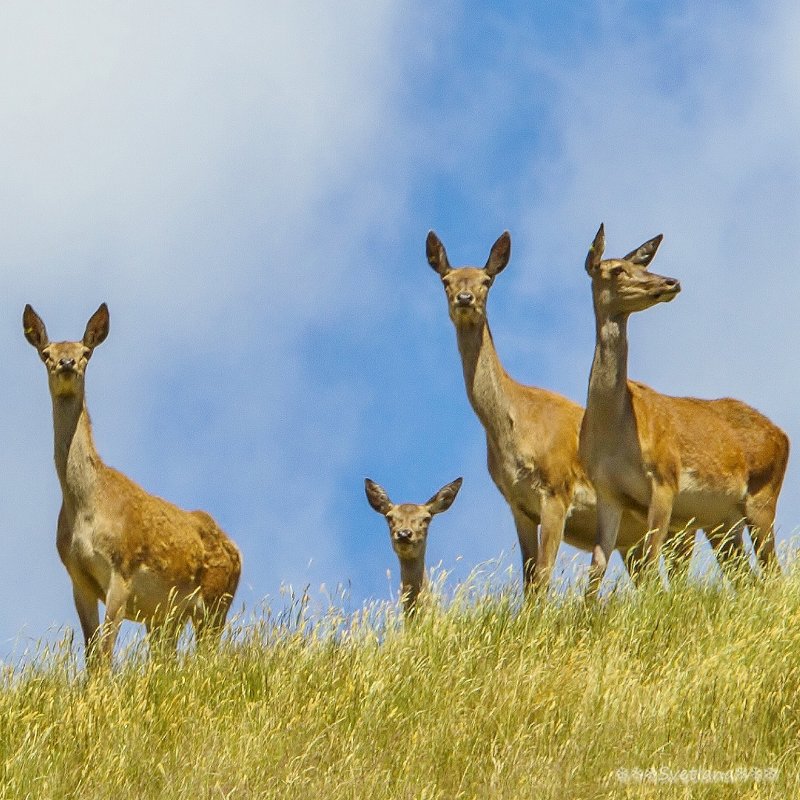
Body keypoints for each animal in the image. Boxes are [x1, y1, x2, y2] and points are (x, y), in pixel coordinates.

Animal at [23, 302, 242, 664]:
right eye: (46, 353)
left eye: (86, 353)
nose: (67, 364)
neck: (87, 508)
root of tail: (237, 552)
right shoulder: (78, 579)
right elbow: (93, 656)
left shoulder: (121, 571)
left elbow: (106, 654)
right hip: (165, 618)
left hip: (216, 602)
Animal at [424, 228, 700, 592]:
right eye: (446, 280)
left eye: (487, 280)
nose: (465, 298)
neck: (514, 430)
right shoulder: (518, 506)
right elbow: (529, 580)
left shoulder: (557, 490)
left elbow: (543, 575)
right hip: (635, 540)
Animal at [580, 225, 792, 592]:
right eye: (617, 269)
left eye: (642, 266)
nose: (670, 282)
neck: (614, 431)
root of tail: (784, 436)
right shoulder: (607, 491)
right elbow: (597, 569)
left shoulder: (665, 477)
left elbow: (651, 563)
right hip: (722, 520)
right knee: (747, 577)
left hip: (762, 495)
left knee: (771, 573)